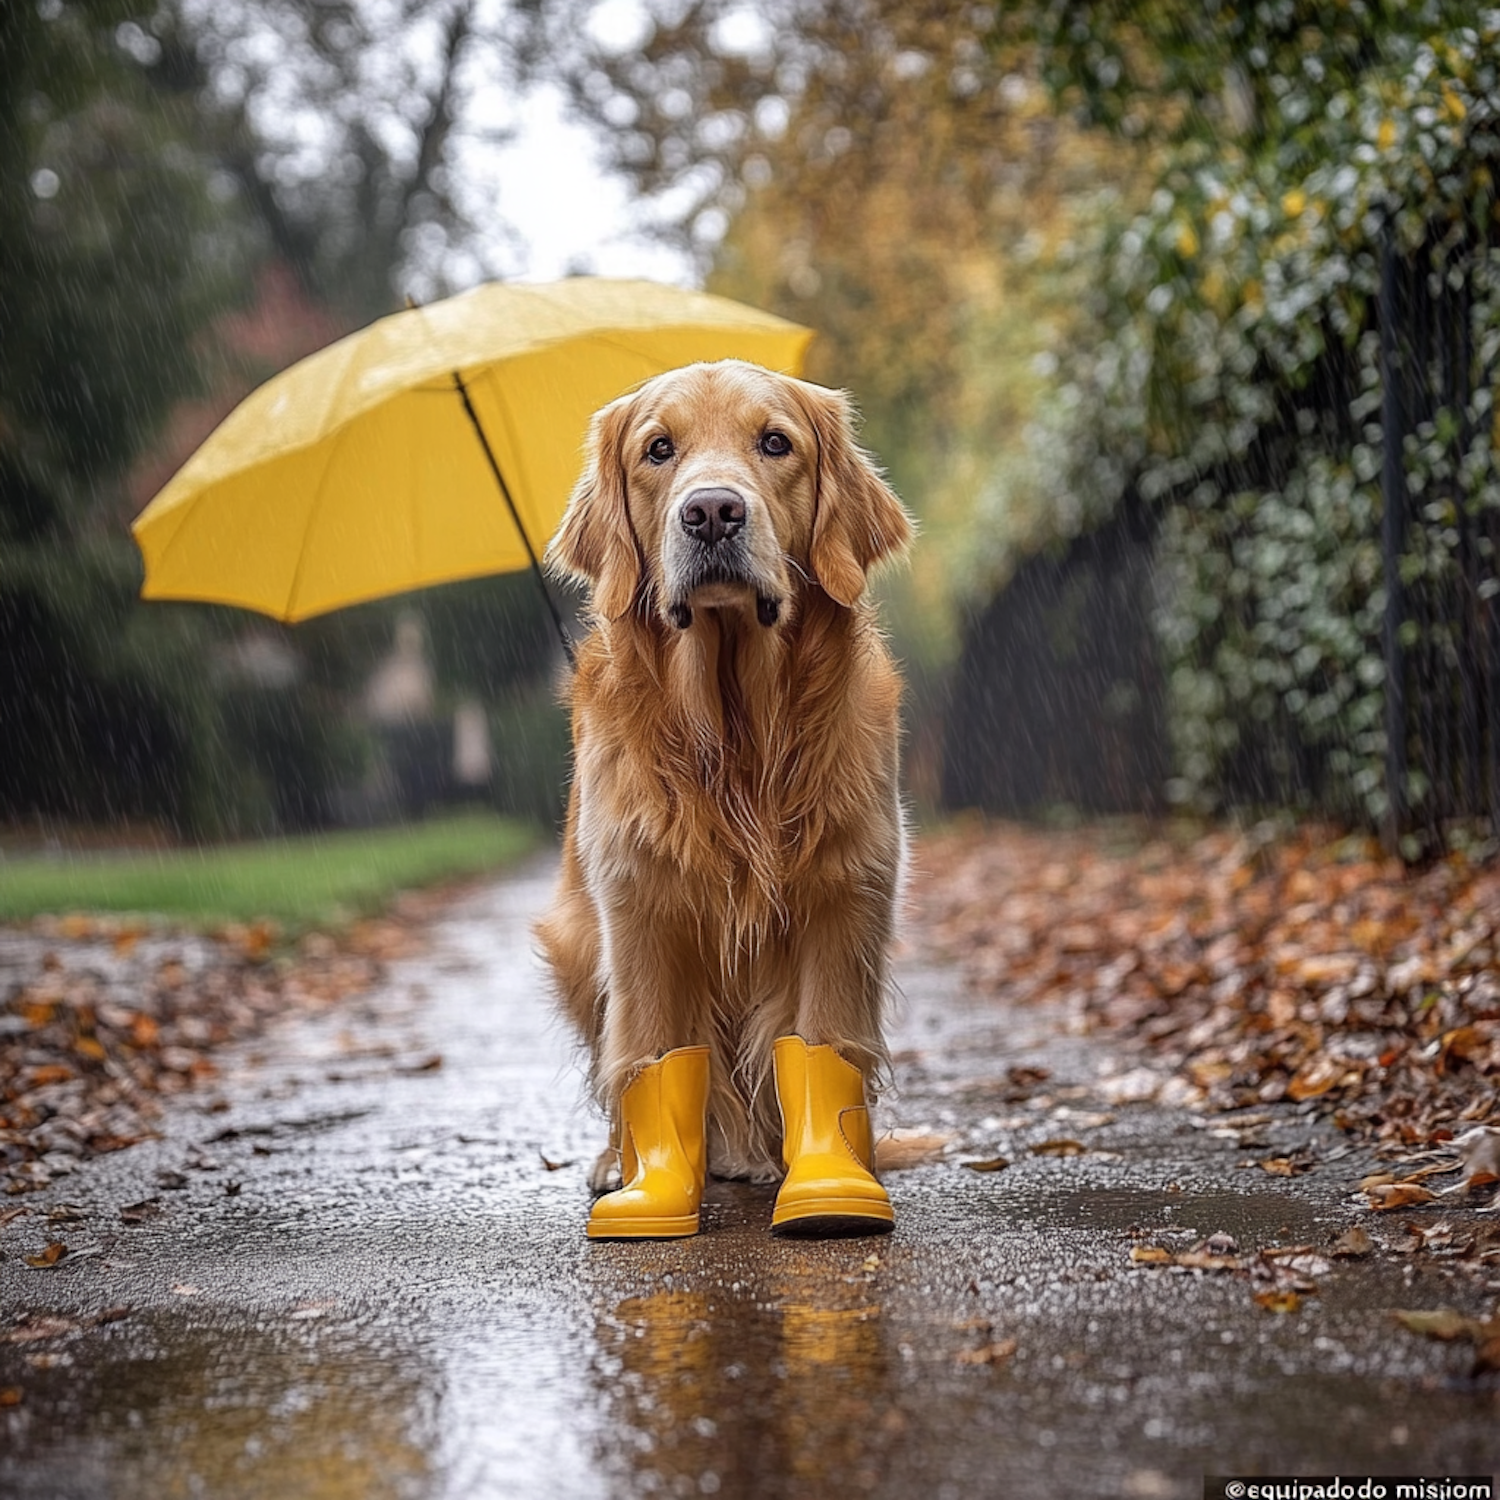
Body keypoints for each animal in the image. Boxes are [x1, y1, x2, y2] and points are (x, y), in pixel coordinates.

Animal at [540, 357, 912, 1188]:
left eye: (775, 442)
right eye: (658, 450)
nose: (712, 512)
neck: (736, 734)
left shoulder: (845, 896)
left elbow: (824, 1043)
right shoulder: (639, 909)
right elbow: (647, 1053)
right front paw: (650, 1180)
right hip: (576, 941)